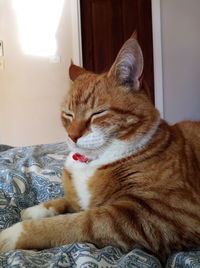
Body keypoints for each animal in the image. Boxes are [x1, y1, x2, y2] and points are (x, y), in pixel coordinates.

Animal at [0, 34, 200, 264]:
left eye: (97, 113)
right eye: (68, 115)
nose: (72, 136)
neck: (93, 161)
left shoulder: (155, 217)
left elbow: (75, 222)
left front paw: (12, 233)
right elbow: (66, 200)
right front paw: (37, 209)